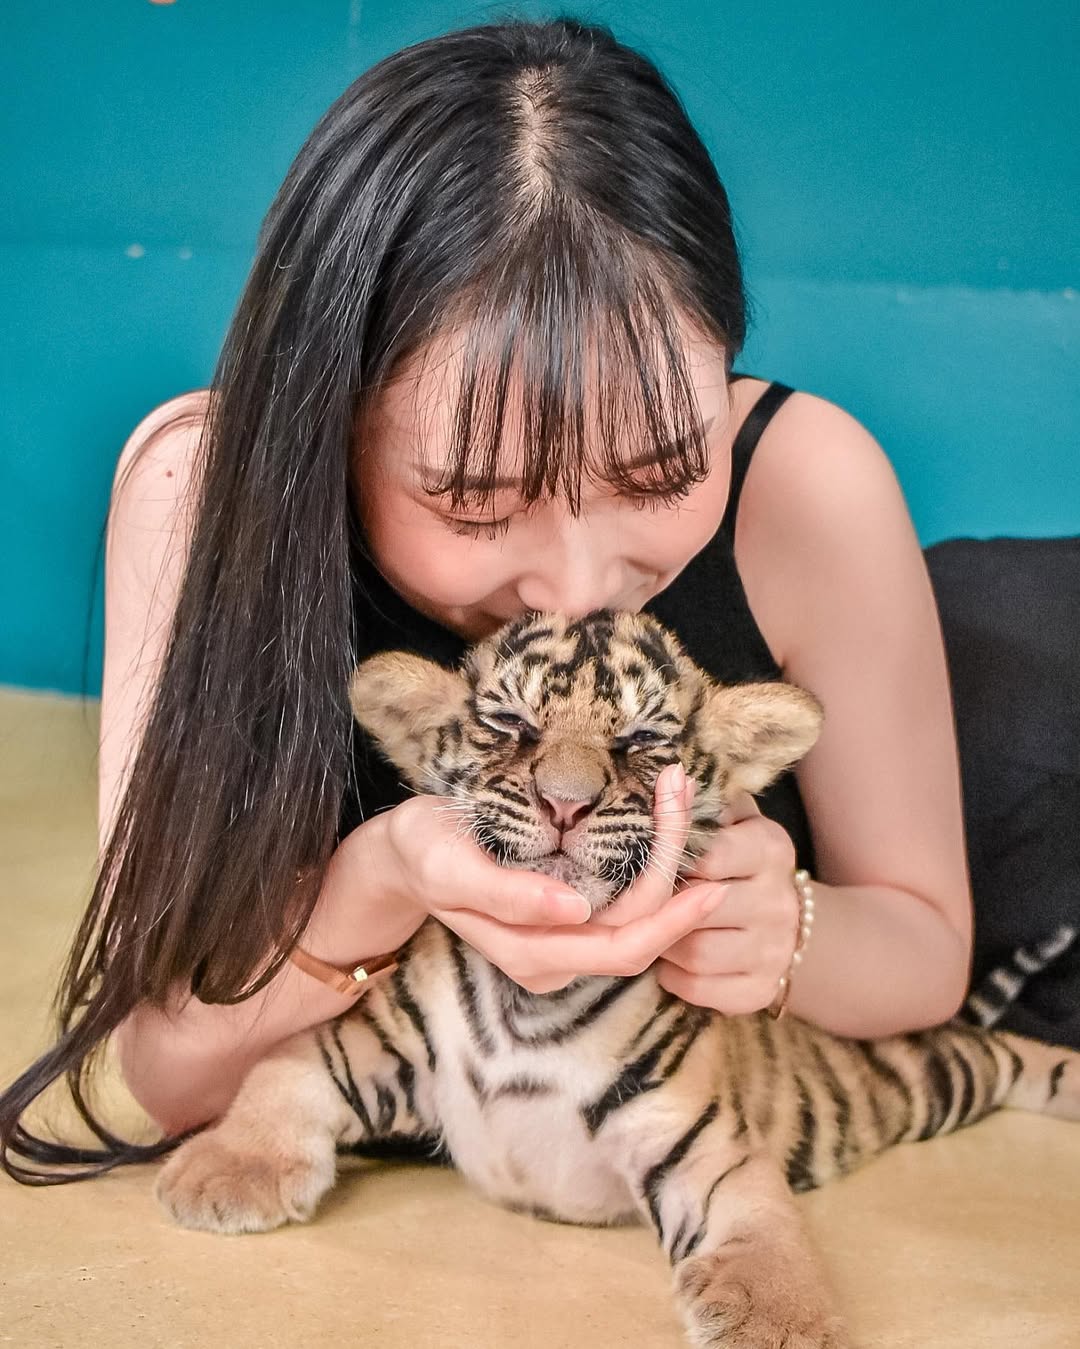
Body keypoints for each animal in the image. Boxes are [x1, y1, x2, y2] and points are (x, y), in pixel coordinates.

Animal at [155, 609, 1080, 1349]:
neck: (530, 999)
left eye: (641, 742)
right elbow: (283, 1066)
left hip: (950, 1070)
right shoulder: (380, 1036)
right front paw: (221, 1172)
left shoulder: (699, 1137)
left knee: (1026, 1056)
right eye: (511, 722)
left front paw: (777, 1321)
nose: (566, 802)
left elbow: (762, 1224)